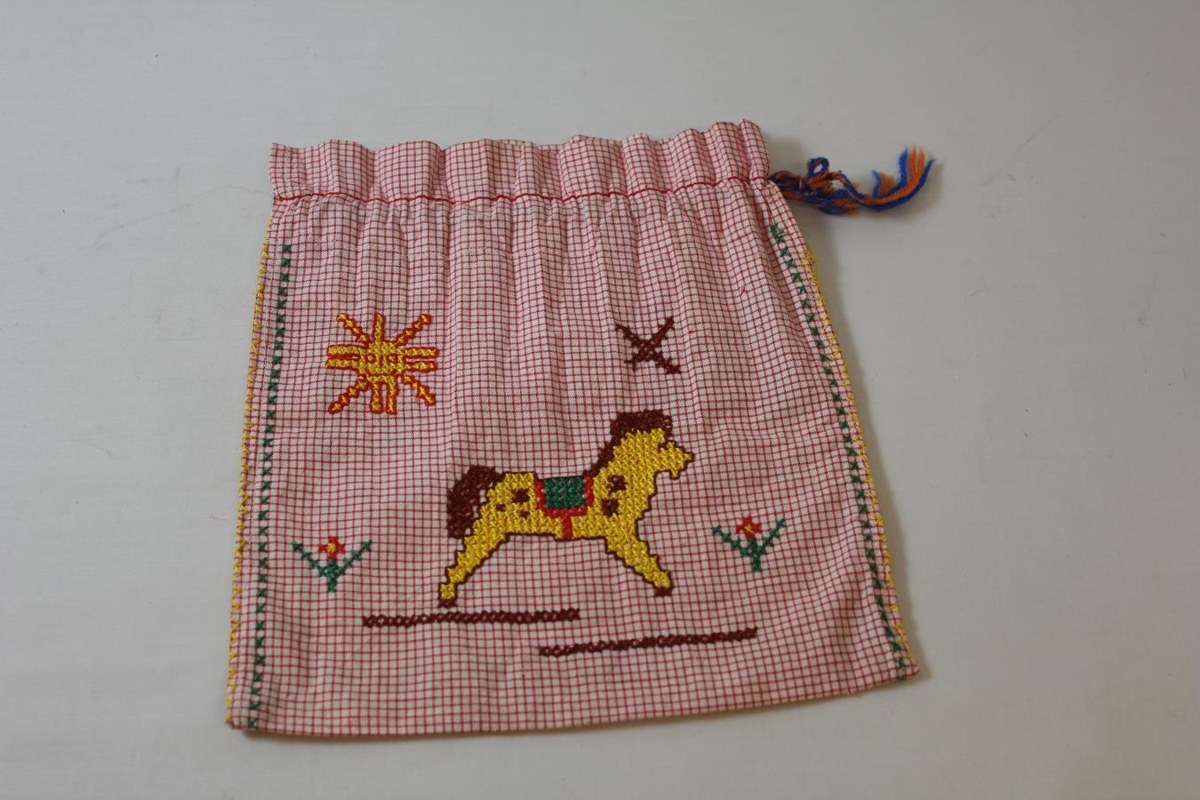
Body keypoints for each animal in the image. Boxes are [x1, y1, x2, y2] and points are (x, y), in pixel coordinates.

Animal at [439, 410, 693, 605]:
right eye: (663, 444)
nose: (687, 458)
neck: (615, 484)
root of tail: (494, 479)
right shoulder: (619, 536)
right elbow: (645, 559)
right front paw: (663, 582)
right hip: (487, 531)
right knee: (464, 558)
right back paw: (447, 594)